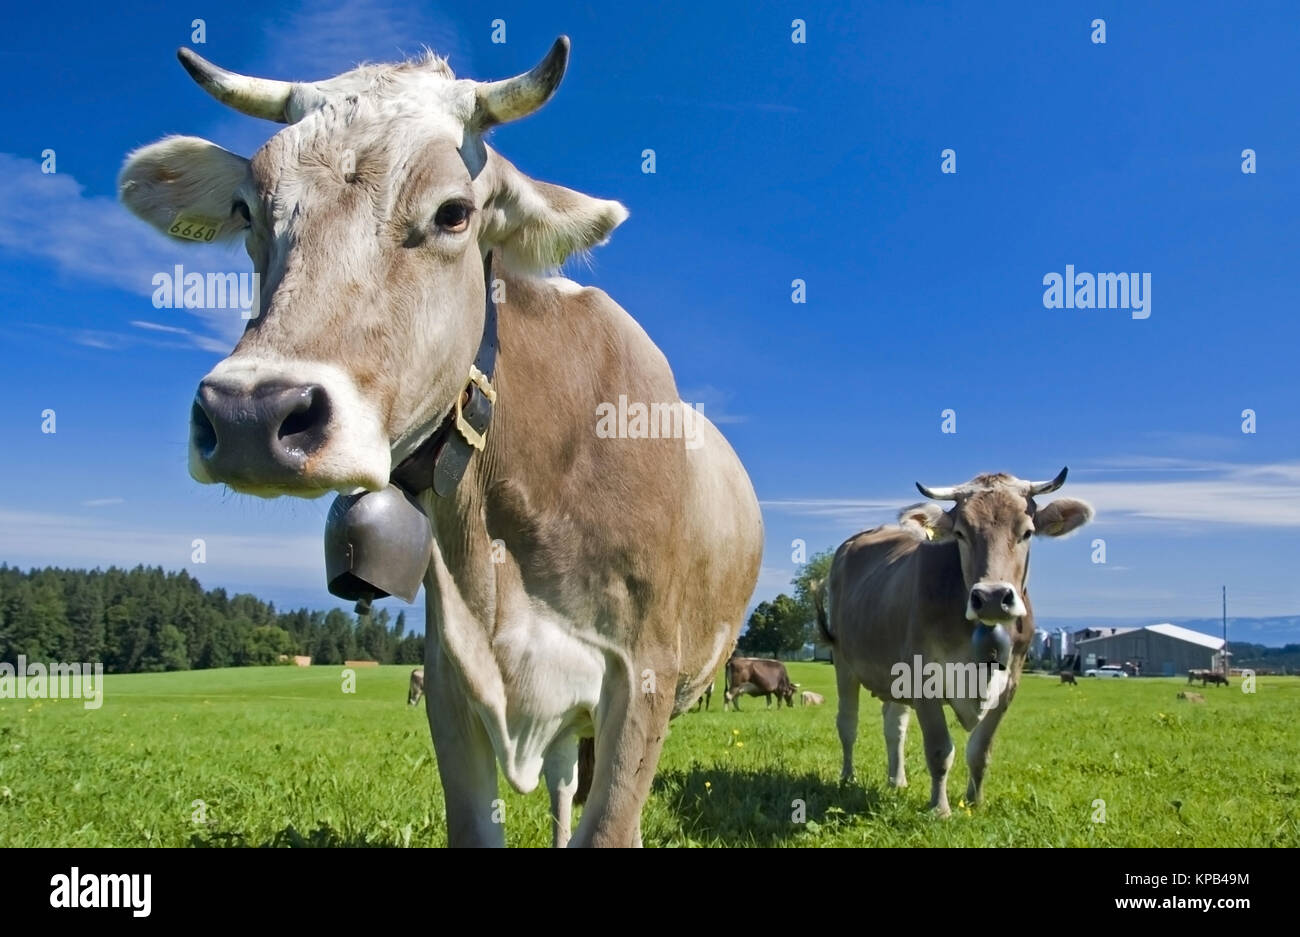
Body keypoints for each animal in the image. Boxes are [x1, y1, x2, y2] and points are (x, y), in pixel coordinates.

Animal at [118, 38, 762, 848]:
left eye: (454, 213)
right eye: (246, 211)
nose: (247, 415)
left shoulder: (643, 676)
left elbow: (613, 821)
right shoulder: (451, 680)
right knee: (563, 783)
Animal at [812, 469, 1093, 817]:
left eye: (1027, 532)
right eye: (961, 533)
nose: (991, 597)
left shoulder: (1009, 685)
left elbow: (980, 751)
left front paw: (975, 802)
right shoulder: (922, 678)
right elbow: (939, 749)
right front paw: (940, 808)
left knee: (894, 726)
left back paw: (897, 780)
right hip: (844, 662)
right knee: (847, 724)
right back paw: (848, 778)